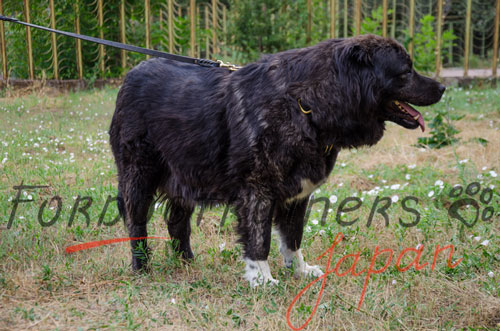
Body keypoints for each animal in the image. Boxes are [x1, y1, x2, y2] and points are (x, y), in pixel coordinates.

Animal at [109, 35, 446, 286]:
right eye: (406, 71)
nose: (442, 87)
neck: (305, 104)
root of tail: (131, 75)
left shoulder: (297, 194)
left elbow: (292, 238)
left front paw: (299, 270)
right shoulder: (257, 191)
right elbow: (260, 240)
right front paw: (262, 278)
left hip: (186, 176)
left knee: (176, 222)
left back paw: (187, 262)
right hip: (138, 176)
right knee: (136, 223)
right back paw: (142, 267)